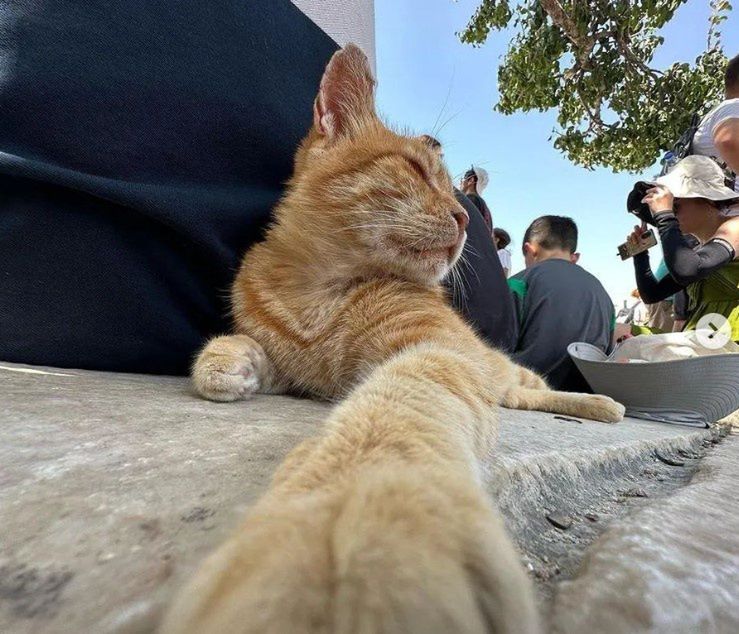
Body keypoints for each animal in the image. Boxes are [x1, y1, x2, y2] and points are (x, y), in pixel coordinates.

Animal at [160, 44, 624, 632]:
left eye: (453, 191)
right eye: (416, 170)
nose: (464, 219)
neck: (321, 294)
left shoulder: (436, 351)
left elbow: (395, 410)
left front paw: (354, 510)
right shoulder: (288, 366)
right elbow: (250, 345)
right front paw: (224, 362)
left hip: (501, 368)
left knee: (535, 386)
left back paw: (605, 404)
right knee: (516, 397)